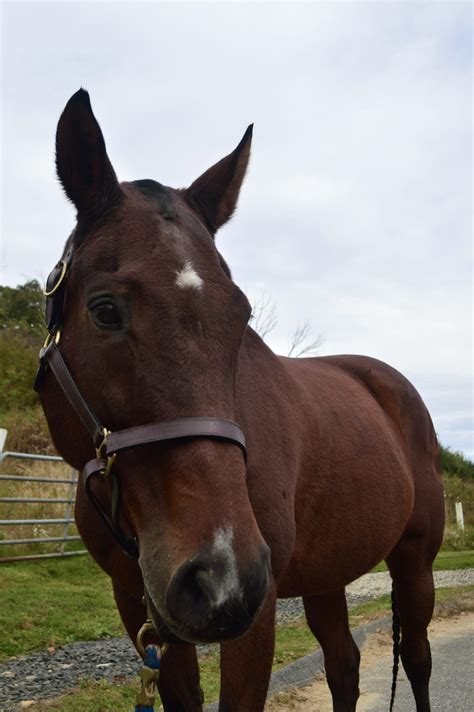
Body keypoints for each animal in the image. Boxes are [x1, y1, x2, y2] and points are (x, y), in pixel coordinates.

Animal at [36, 90, 444, 712]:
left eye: (241, 315)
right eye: (105, 310)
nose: (221, 575)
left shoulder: (258, 609)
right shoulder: (141, 606)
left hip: (414, 563)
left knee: (417, 658)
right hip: (326, 576)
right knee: (344, 666)